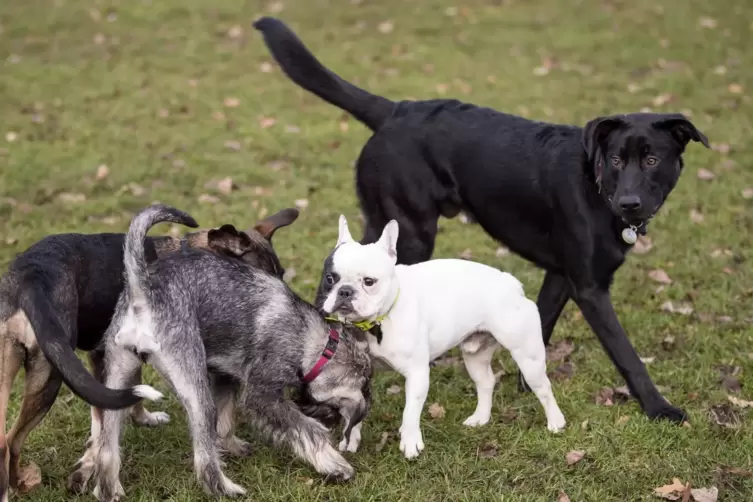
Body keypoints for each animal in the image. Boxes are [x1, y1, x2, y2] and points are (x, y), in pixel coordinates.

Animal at [0, 207, 298, 498]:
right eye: (254, 284)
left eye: (282, 275)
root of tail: (30, 275)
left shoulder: (105, 359)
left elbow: (113, 409)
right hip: (50, 375)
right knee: (12, 440)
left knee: (6, 440)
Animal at [83, 204, 374, 502]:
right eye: (333, 410)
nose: (330, 419)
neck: (316, 343)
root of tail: (143, 291)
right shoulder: (262, 394)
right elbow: (306, 429)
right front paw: (334, 464)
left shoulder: (225, 375)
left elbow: (225, 421)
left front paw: (231, 446)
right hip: (195, 388)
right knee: (203, 458)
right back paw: (226, 489)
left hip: (117, 375)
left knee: (107, 445)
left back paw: (109, 489)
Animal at [256, 17, 708, 422]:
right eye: (616, 159)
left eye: (651, 160)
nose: (630, 203)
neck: (596, 186)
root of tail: (395, 110)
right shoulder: (591, 288)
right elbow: (627, 354)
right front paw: (659, 407)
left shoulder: (561, 274)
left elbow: (541, 324)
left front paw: (527, 383)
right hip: (411, 230)